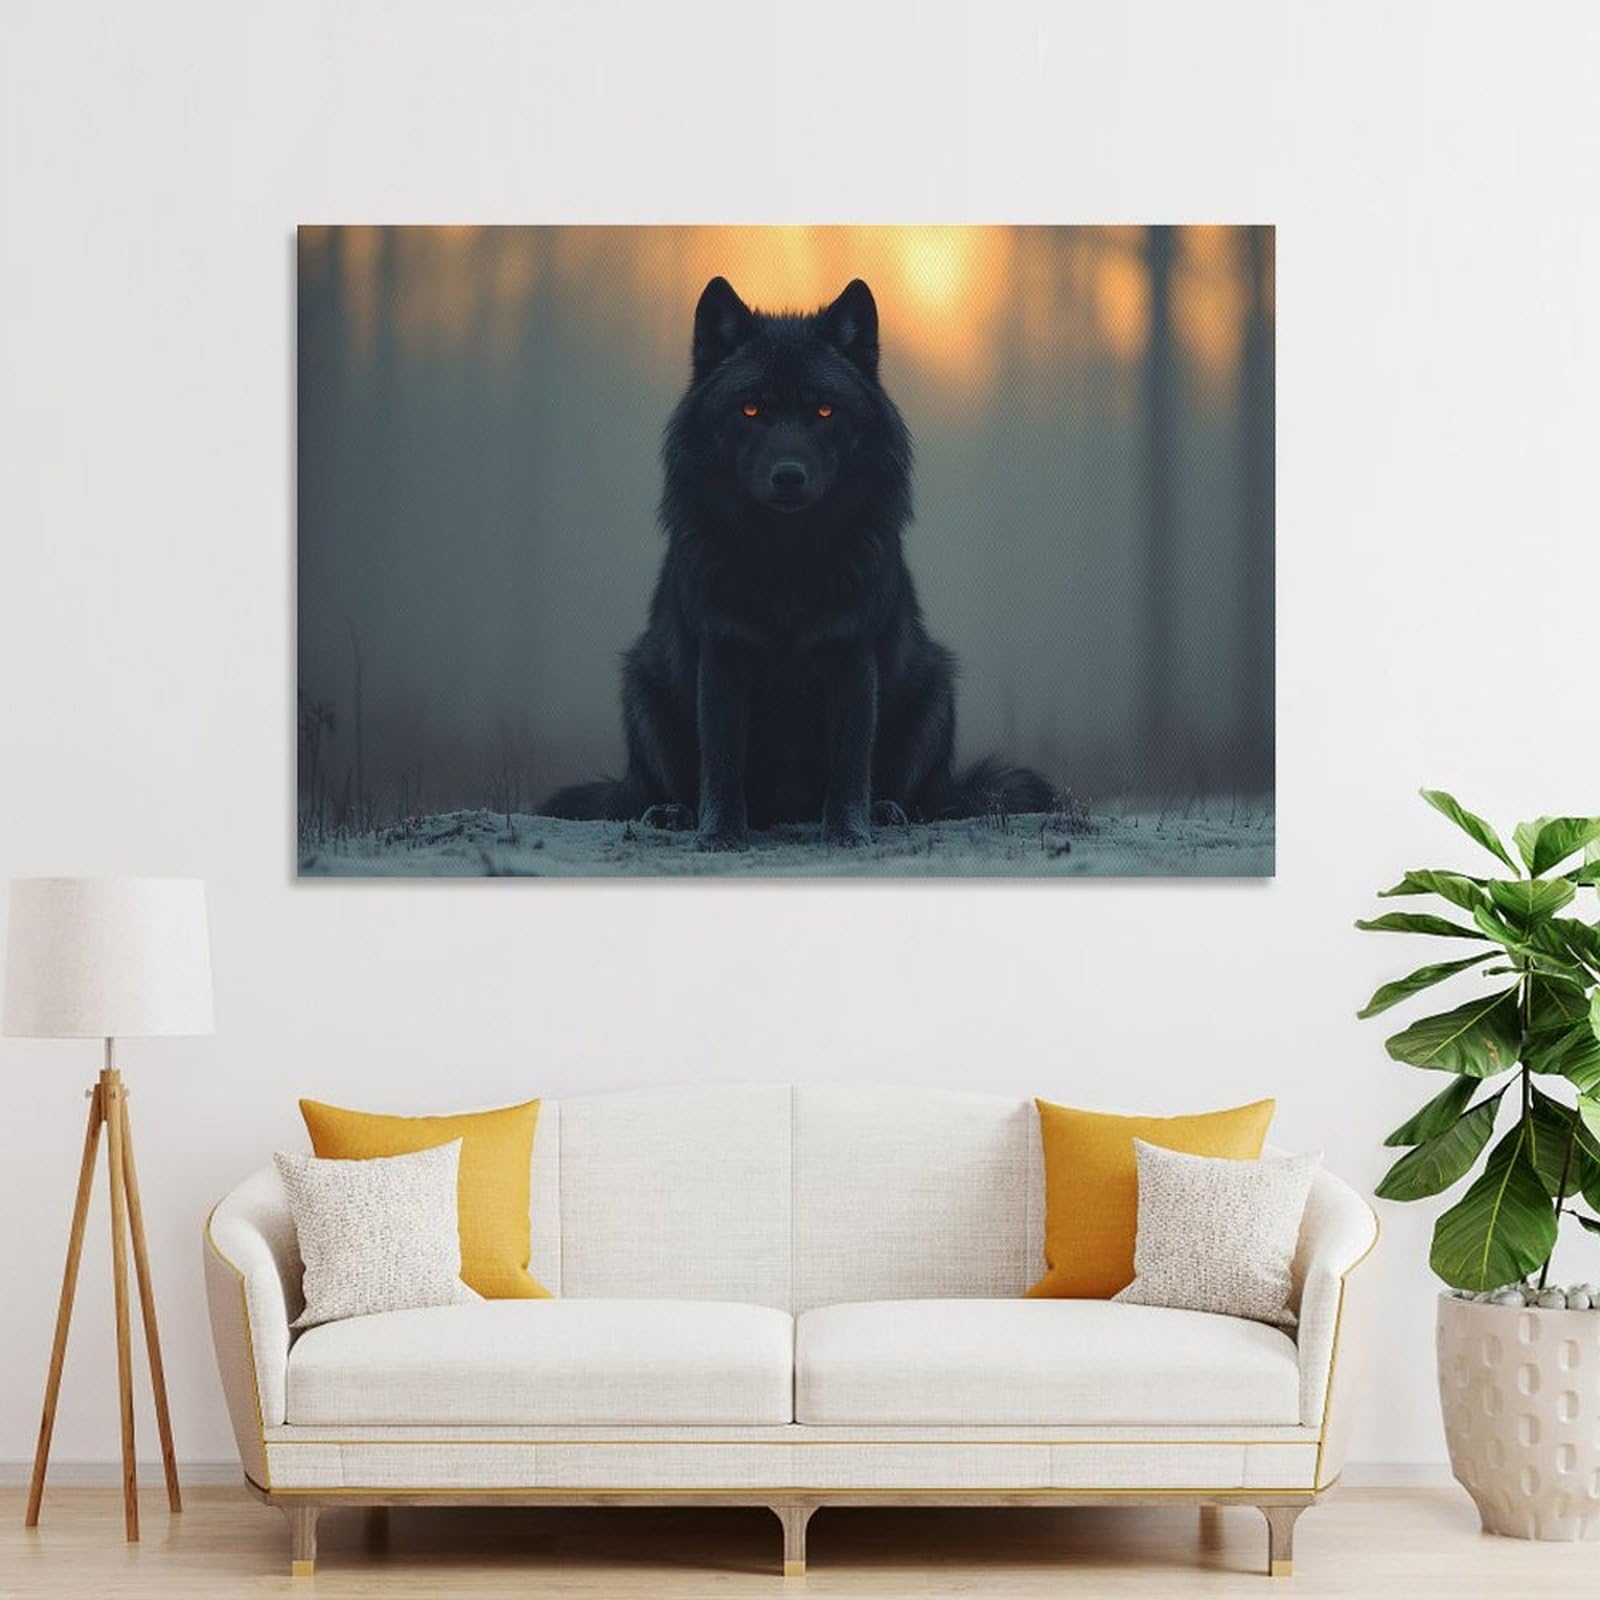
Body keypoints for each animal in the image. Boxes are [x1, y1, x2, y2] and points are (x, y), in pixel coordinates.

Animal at [542, 276, 1052, 850]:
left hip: (934, 684)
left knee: (913, 793)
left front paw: (848, 833)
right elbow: (721, 764)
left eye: (825, 411)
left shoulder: (852, 656)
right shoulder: (723, 654)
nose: (788, 475)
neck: (786, 560)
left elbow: (850, 765)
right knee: (661, 786)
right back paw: (671, 814)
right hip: (643, 683)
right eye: (750, 410)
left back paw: (885, 811)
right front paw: (720, 836)